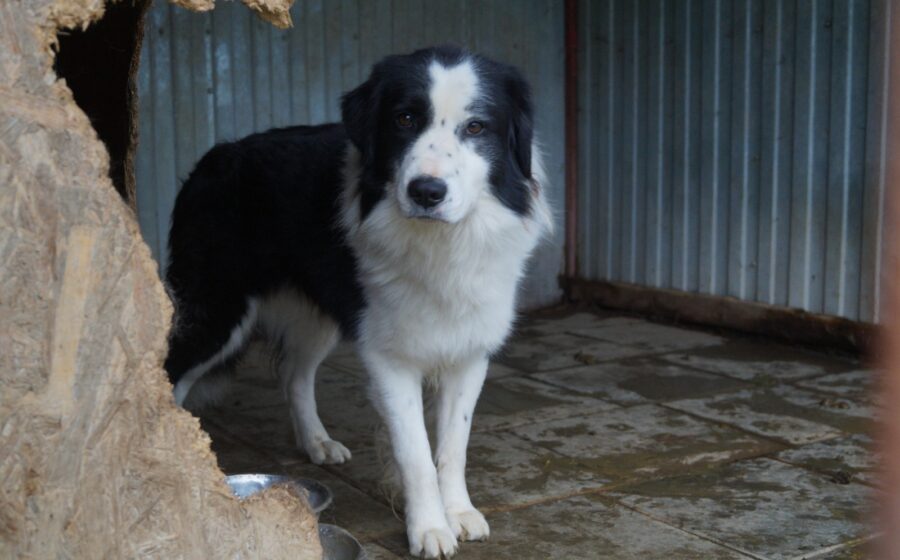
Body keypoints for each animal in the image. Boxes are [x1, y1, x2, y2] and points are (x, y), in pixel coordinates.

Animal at [164, 45, 551, 558]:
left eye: (476, 127)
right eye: (404, 118)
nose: (426, 192)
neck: (441, 242)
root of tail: (217, 153)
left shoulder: (469, 351)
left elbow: (453, 445)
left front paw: (459, 512)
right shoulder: (389, 357)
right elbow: (416, 453)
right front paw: (430, 528)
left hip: (320, 316)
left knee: (294, 374)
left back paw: (317, 443)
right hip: (215, 311)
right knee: (167, 374)